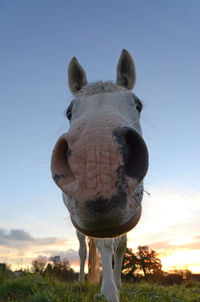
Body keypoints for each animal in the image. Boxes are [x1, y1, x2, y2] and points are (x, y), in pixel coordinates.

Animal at [51, 49, 148, 302]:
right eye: (69, 111)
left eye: (138, 104)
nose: (97, 164)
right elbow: (104, 247)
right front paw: (110, 292)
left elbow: (121, 245)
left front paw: (117, 284)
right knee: (84, 249)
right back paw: (83, 281)